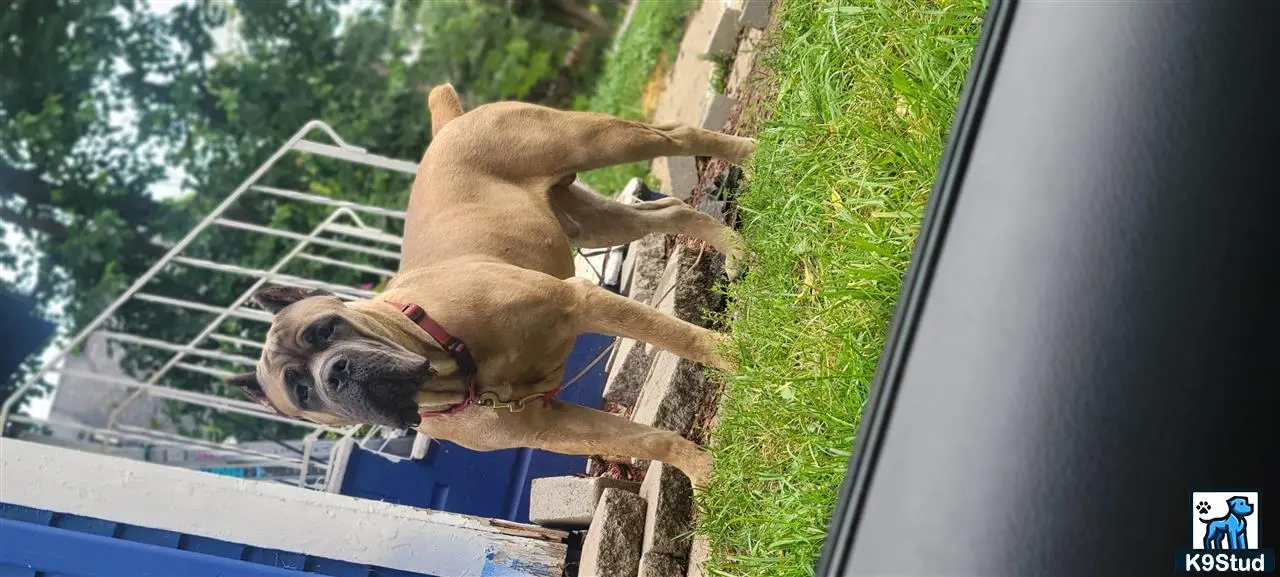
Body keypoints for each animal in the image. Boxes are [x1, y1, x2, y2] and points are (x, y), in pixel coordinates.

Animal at [229, 83, 747, 486]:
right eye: (301, 392)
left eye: (326, 330)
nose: (335, 373)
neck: (452, 363)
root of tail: (446, 127)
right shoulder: (550, 424)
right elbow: (648, 439)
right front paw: (703, 473)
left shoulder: (580, 301)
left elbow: (683, 338)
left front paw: (734, 356)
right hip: (591, 222)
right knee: (671, 211)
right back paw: (736, 249)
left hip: (599, 141)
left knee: (680, 135)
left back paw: (750, 150)